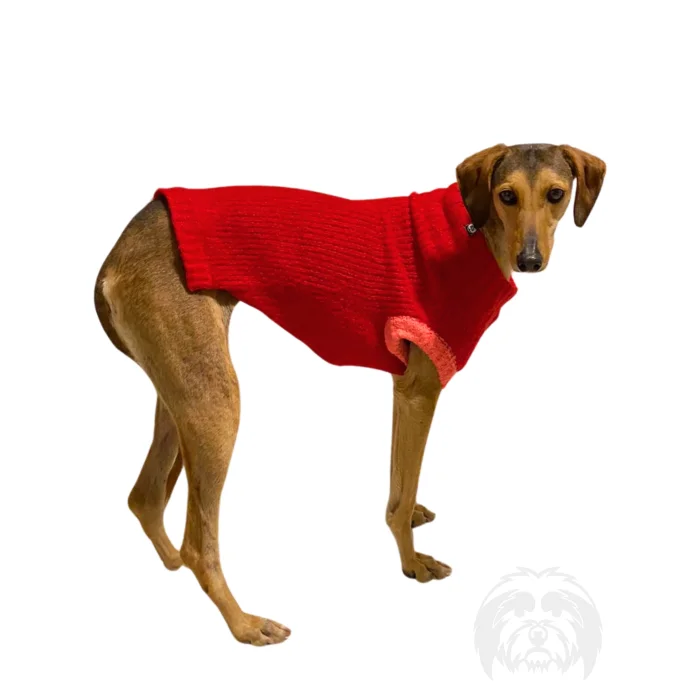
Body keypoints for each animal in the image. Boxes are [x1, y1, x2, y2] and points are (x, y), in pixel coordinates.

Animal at [94, 143, 606, 646]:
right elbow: (401, 497)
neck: (474, 230)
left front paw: (410, 525)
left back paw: (173, 563)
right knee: (198, 546)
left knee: (145, 498)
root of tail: (118, 250)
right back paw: (244, 623)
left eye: (556, 194)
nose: (530, 261)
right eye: (507, 195)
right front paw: (412, 563)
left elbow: (399, 485)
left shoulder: (403, 390)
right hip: (216, 406)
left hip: (180, 393)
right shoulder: (422, 389)